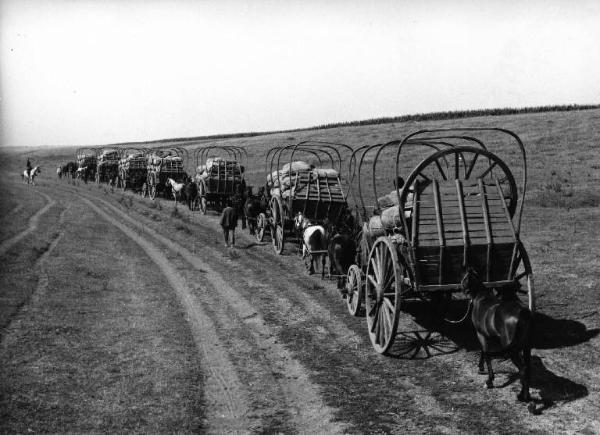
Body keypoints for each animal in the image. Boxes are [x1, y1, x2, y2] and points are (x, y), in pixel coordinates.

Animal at [462, 268, 532, 404]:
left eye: (464, 278)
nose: (462, 288)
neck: (482, 298)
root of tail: (522, 313)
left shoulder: (480, 334)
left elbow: (486, 353)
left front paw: (489, 380)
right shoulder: (489, 336)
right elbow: (484, 352)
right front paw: (481, 368)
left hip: (513, 351)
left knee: (523, 370)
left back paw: (523, 397)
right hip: (525, 348)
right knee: (526, 369)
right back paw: (523, 394)